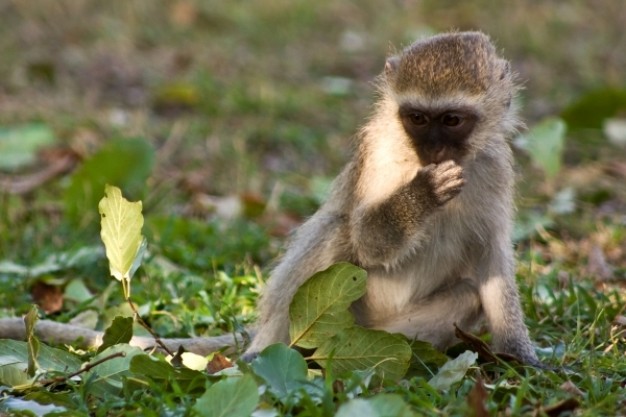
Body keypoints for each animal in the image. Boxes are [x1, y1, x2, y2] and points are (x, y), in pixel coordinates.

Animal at [243, 31, 536, 364]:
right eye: (418, 118)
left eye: (451, 120)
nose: (434, 149)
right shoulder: (378, 150)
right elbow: (368, 239)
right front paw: (424, 193)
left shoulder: (495, 167)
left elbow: (492, 257)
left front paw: (520, 356)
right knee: (337, 230)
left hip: (385, 328)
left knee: (467, 297)